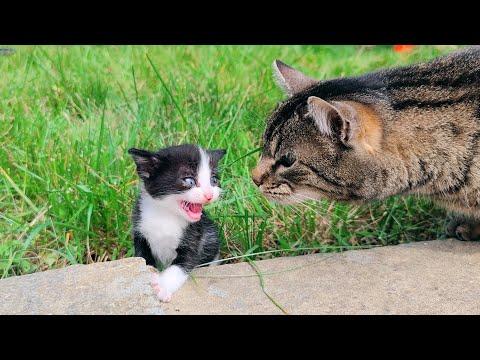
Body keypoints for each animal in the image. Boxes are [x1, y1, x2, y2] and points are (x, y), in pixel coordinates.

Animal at [127, 143, 225, 300]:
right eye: (189, 181)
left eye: (213, 180)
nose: (209, 194)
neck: (165, 215)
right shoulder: (140, 231)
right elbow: (143, 258)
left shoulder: (195, 237)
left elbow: (181, 265)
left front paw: (162, 285)